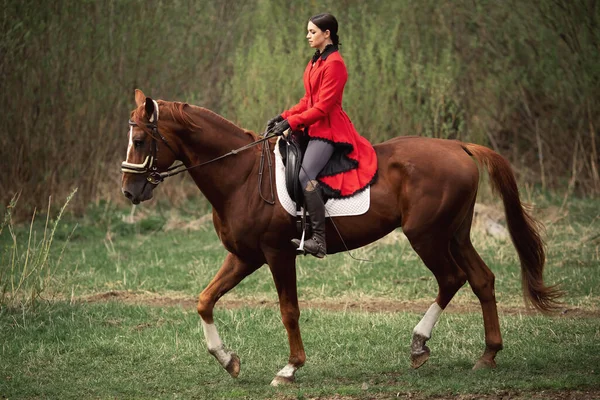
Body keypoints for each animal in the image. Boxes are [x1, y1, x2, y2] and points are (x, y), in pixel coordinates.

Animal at [119, 90, 560, 384]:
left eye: (139, 141)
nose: (129, 192)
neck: (241, 175)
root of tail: (460, 147)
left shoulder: (277, 254)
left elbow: (289, 310)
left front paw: (290, 368)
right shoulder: (244, 256)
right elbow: (205, 300)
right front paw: (227, 359)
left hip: (427, 235)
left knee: (452, 279)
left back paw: (419, 345)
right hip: (454, 234)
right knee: (482, 279)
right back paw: (487, 355)